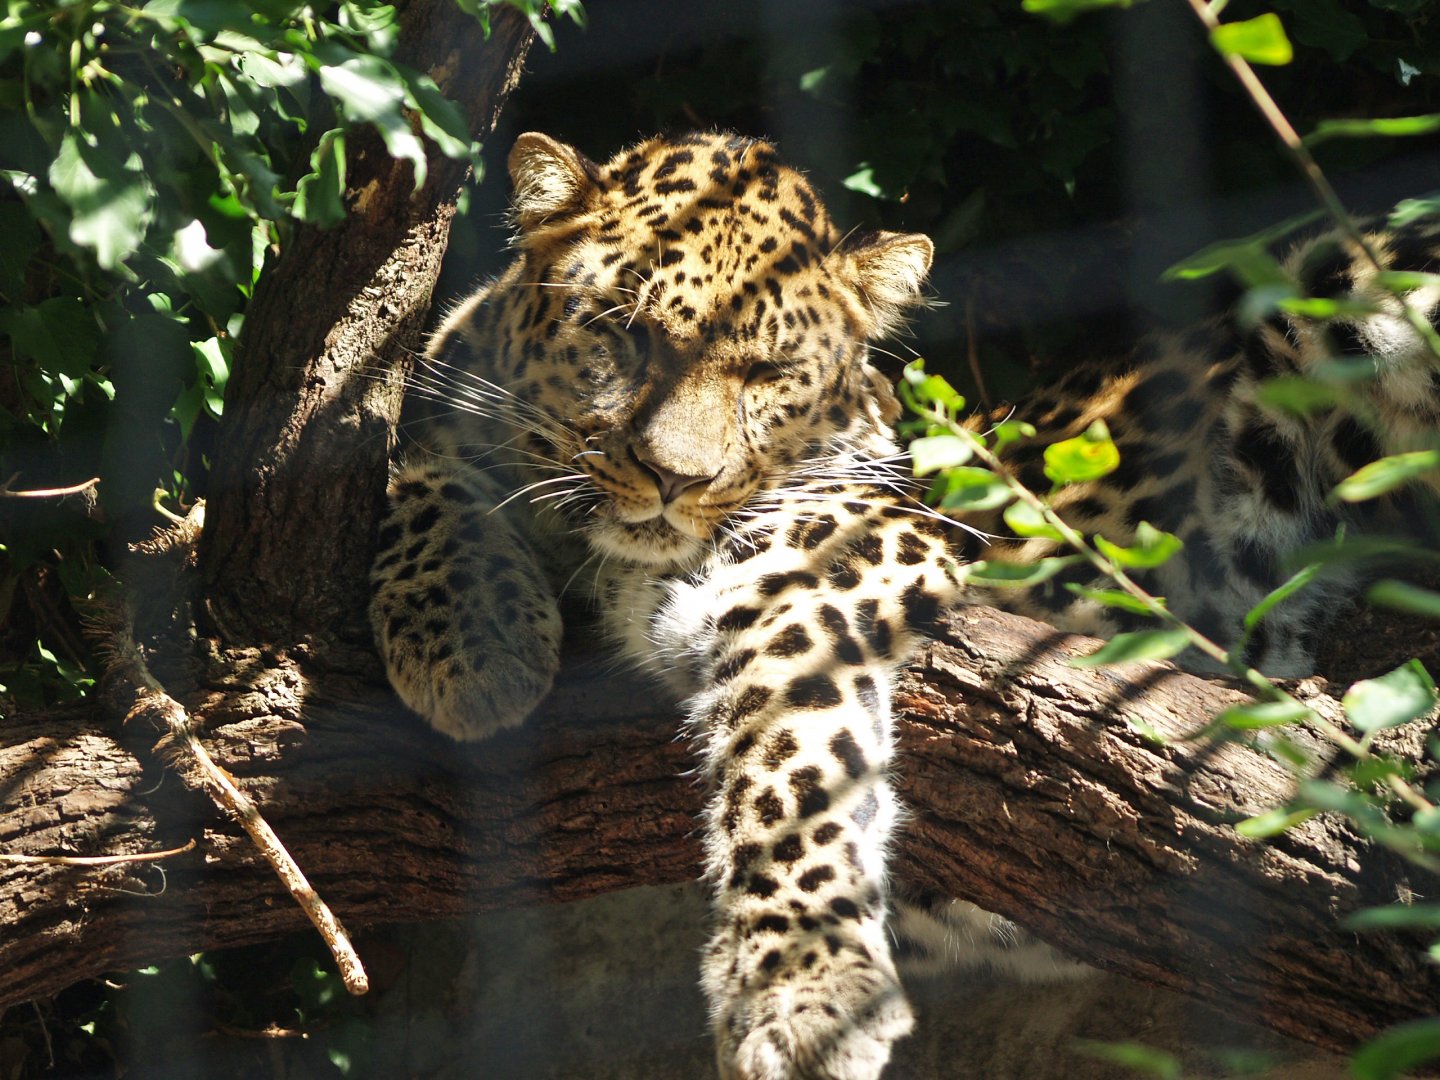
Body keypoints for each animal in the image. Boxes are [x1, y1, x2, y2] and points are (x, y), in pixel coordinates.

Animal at [369, 129, 1440, 1080]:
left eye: (768, 373)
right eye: (622, 335)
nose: (676, 479)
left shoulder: (844, 548)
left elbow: (794, 760)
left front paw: (803, 987)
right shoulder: (447, 384)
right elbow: (418, 466)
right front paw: (470, 647)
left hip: (1347, 269)